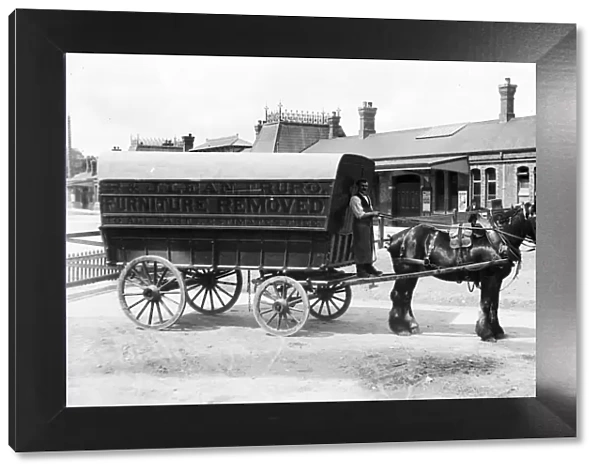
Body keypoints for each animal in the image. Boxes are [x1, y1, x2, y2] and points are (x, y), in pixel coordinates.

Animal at [386, 201, 536, 342]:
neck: (498, 239)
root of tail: (397, 237)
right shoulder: (489, 277)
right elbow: (486, 303)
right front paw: (486, 333)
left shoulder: (496, 279)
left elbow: (494, 304)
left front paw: (497, 330)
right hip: (406, 271)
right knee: (399, 295)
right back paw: (400, 328)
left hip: (411, 274)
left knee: (406, 296)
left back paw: (410, 325)